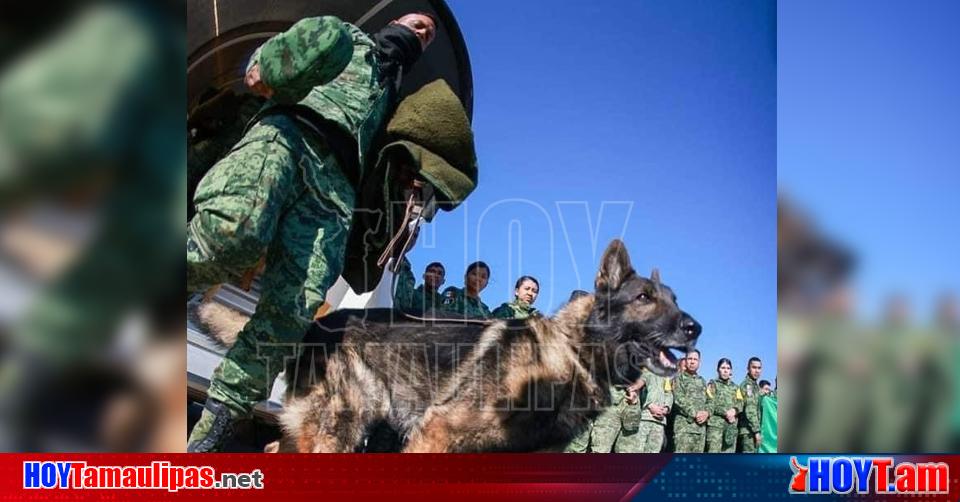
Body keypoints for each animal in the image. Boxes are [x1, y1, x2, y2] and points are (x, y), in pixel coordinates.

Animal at [274, 239, 700, 452]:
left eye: (675, 299)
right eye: (644, 298)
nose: (696, 328)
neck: (572, 352)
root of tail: (321, 321)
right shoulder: (438, 431)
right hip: (338, 427)